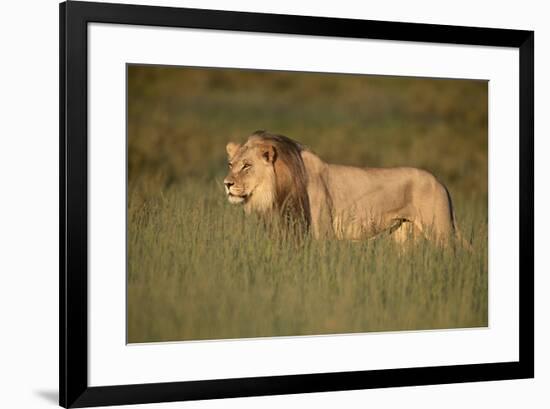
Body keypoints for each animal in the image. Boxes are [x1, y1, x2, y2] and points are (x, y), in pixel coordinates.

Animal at [224, 130, 470, 245]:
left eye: (247, 165)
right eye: (231, 164)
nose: (227, 184)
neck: (277, 190)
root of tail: (441, 182)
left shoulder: (321, 232)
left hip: (440, 232)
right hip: (404, 235)